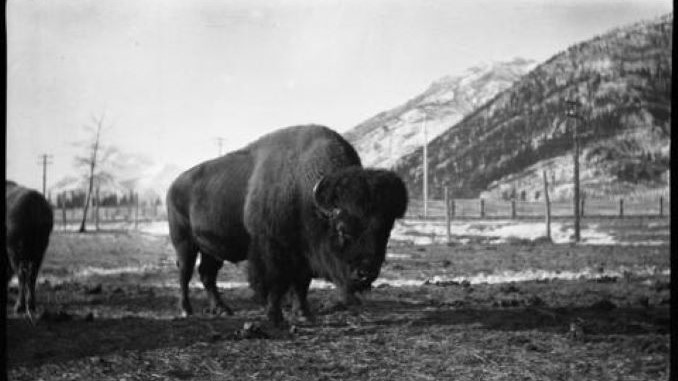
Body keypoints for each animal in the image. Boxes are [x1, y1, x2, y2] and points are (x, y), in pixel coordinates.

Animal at [5, 180, 53, 316]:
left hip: (16, 252)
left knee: (22, 275)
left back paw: (19, 306)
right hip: (39, 252)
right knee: (32, 276)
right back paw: (31, 305)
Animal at [168, 124, 410, 324]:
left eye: (386, 231)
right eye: (342, 229)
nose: (365, 273)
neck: (303, 193)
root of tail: (174, 185)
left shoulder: (303, 256)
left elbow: (301, 284)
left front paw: (304, 314)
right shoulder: (272, 252)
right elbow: (276, 284)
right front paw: (275, 316)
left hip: (211, 249)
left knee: (207, 275)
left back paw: (223, 309)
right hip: (184, 244)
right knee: (185, 274)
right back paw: (186, 310)